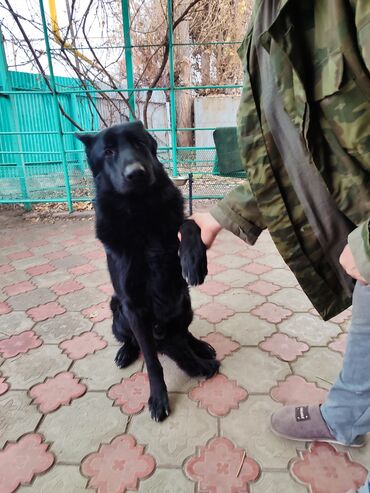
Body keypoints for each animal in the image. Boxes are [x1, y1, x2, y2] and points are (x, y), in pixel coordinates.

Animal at [76, 121, 220, 420]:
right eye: (108, 151)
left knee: (183, 332)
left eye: (139, 144)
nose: (136, 173)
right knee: (135, 340)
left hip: (184, 303)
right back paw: (126, 352)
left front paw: (193, 259)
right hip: (118, 310)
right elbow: (153, 362)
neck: (140, 212)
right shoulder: (134, 307)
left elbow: (189, 223)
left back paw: (199, 346)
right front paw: (158, 397)